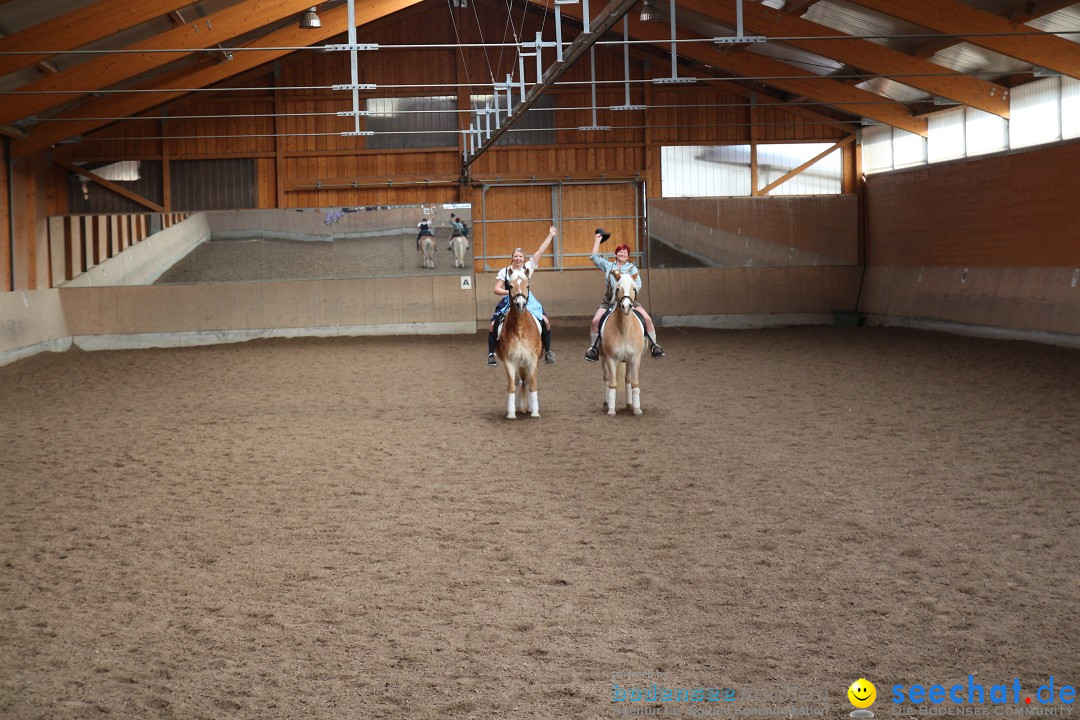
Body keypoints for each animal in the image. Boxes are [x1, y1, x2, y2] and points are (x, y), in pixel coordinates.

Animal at [498, 267, 544, 418]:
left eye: (527, 285)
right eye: (510, 286)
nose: (521, 304)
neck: (520, 329)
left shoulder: (533, 359)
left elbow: (533, 384)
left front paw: (535, 412)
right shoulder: (509, 360)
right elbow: (512, 386)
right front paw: (511, 414)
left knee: (527, 381)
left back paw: (529, 407)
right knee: (520, 382)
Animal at [596, 269, 643, 416]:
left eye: (633, 288)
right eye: (618, 289)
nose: (626, 306)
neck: (624, 330)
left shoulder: (635, 358)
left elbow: (634, 383)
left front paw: (637, 409)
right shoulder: (611, 358)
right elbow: (613, 384)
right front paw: (611, 410)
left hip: (627, 360)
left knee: (627, 379)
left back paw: (629, 405)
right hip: (604, 359)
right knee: (606, 378)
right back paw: (606, 404)